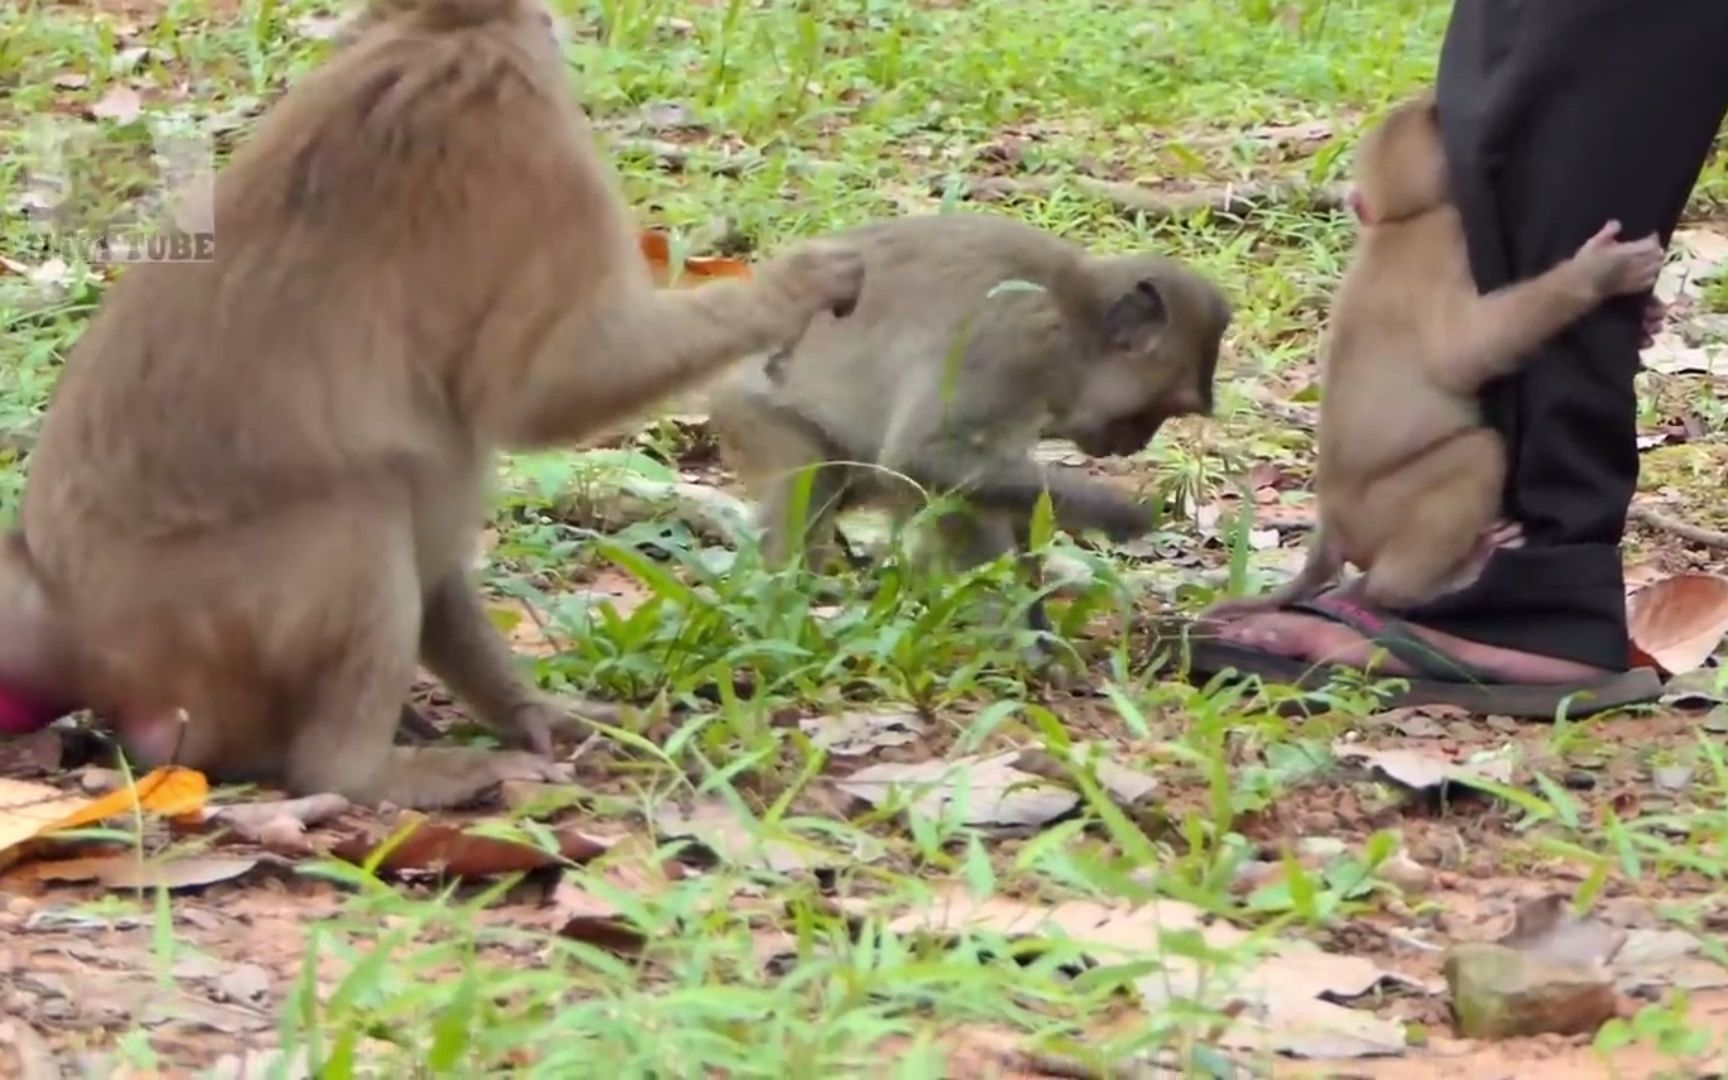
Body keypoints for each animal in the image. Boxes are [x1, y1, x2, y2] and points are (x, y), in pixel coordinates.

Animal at [0, 0, 864, 805]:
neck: (436, 30)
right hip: (205, 622)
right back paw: (363, 773)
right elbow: (548, 389)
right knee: (362, 506)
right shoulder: (527, 129)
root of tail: (65, 616)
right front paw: (790, 289)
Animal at [701, 207, 1230, 635]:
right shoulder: (1014, 339)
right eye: (1158, 409)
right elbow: (923, 458)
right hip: (758, 414)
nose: (1138, 442)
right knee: (820, 475)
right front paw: (1121, 514)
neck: (1072, 322)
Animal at [1202, 92, 1658, 622]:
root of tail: (1331, 525)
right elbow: (1465, 352)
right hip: (1381, 511)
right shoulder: (1446, 239)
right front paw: (1596, 275)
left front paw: (1651, 318)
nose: (1433, 99)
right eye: (1432, 117)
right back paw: (1423, 584)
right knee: (1478, 455)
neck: (1399, 221)